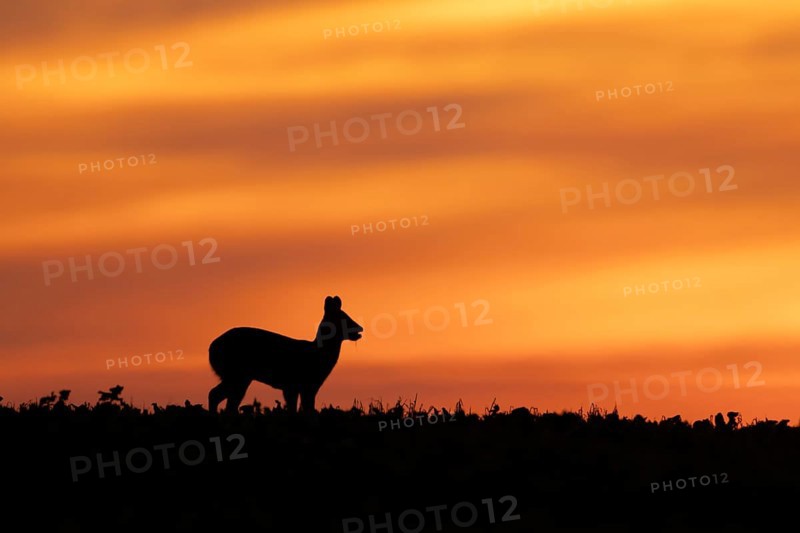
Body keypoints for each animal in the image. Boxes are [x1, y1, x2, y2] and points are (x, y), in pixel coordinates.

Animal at [208, 295, 363, 414]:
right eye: (344, 317)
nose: (360, 328)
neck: (316, 354)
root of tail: (211, 349)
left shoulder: (292, 387)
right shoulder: (306, 385)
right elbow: (307, 410)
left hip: (237, 376)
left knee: (225, 400)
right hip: (236, 374)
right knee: (218, 397)